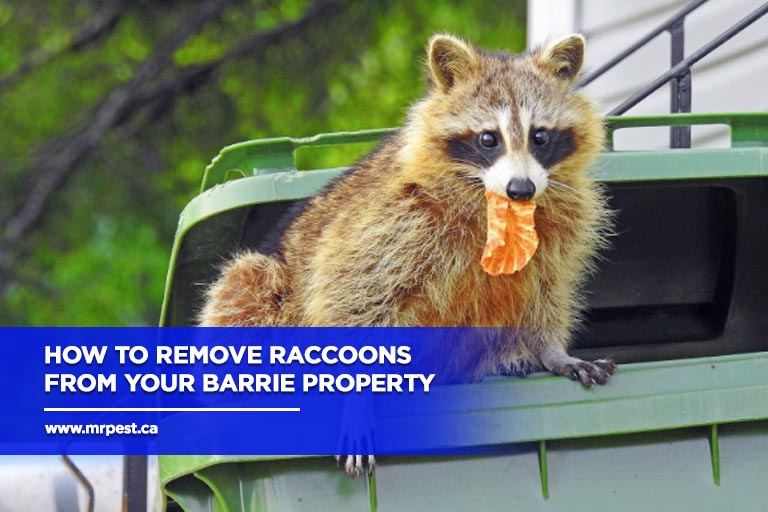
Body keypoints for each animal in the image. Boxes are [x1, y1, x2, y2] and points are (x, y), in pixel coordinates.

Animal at [201, 34, 615, 474]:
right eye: (489, 138)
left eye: (540, 136)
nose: (522, 189)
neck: (495, 202)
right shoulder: (395, 218)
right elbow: (350, 292)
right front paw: (357, 400)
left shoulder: (560, 226)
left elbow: (546, 288)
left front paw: (552, 350)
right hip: (268, 279)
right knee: (246, 285)